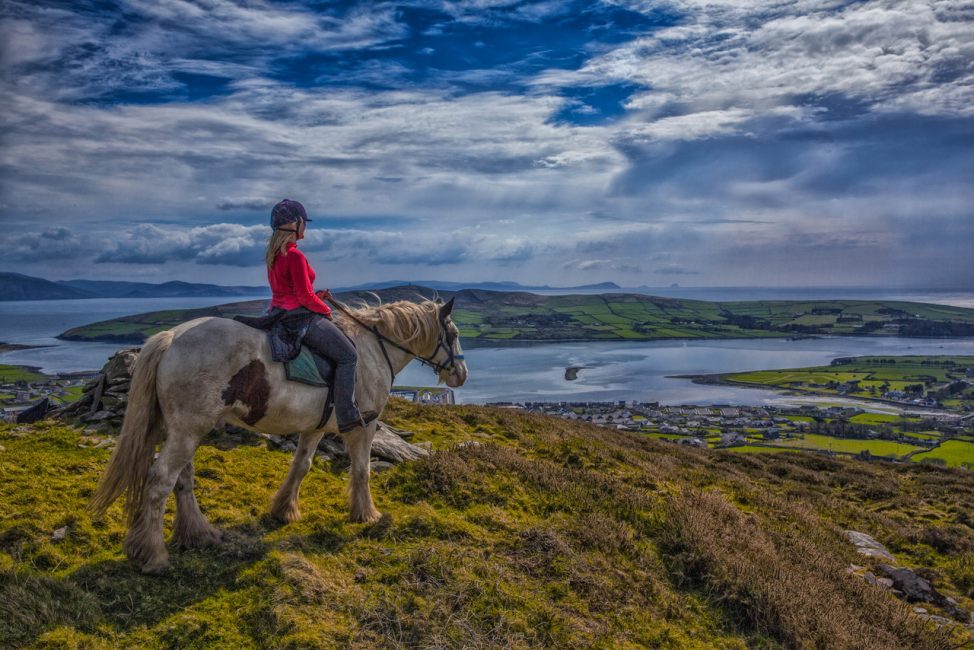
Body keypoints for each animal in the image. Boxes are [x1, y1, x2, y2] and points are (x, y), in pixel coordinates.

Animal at [90, 296, 468, 568]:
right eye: (453, 334)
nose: (461, 375)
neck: (374, 350)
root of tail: (170, 339)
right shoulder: (364, 426)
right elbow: (362, 470)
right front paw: (367, 514)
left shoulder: (315, 427)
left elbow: (301, 466)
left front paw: (284, 510)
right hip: (186, 430)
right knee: (160, 481)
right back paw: (153, 556)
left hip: (185, 429)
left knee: (183, 479)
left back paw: (198, 534)